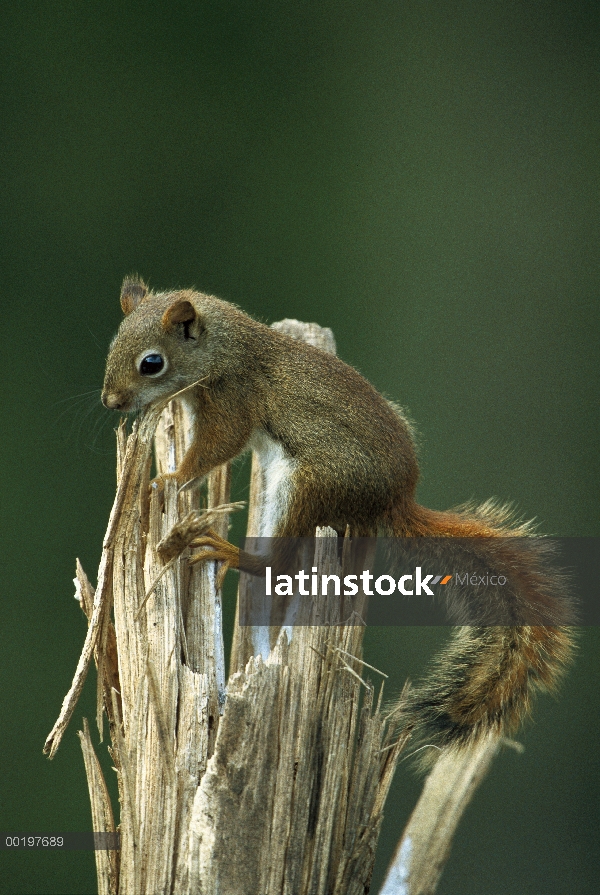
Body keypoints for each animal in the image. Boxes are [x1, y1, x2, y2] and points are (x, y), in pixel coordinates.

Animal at [102, 276, 572, 752]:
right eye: (112, 345)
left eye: (152, 363)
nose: (110, 401)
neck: (226, 350)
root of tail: (394, 501)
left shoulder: (233, 400)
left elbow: (216, 449)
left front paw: (171, 477)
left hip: (307, 486)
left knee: (279, 563)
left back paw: (229, 552)